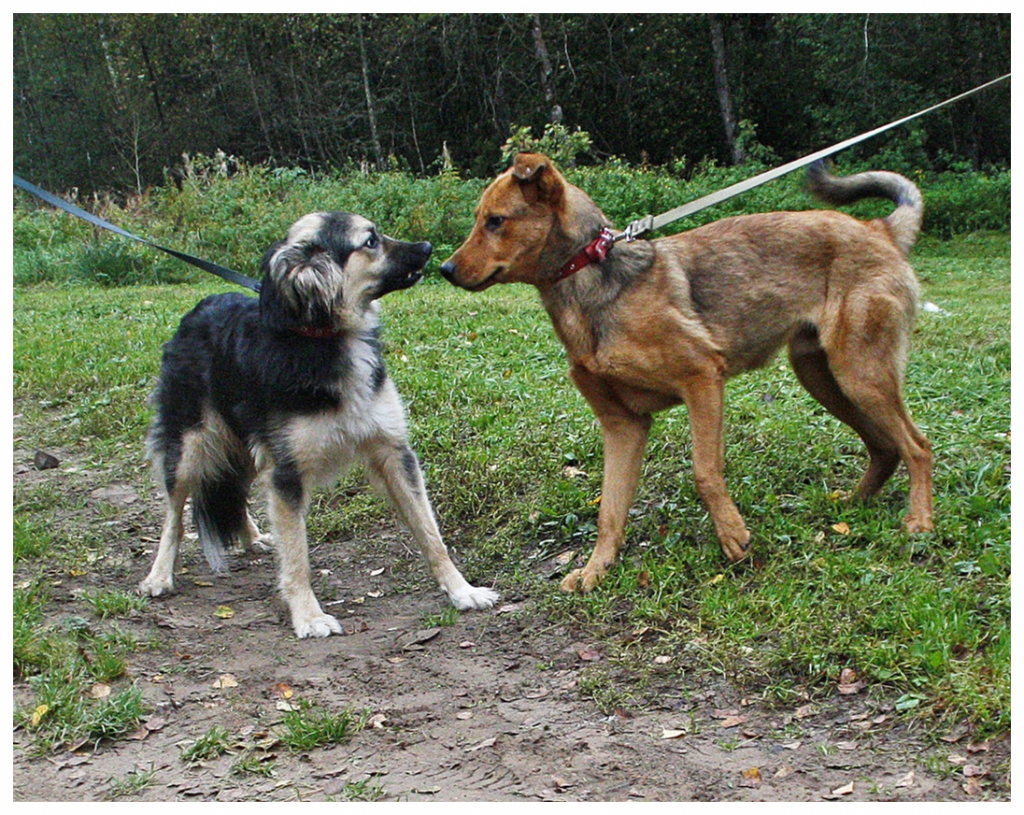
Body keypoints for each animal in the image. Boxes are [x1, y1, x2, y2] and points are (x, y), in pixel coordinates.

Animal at [140, 212, 499, 638]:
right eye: (370, 241)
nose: (428, 248)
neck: (327, 336)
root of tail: (199, 308)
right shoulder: (287, 473)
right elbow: (297, 556)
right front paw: (309, 616)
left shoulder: (393, 451)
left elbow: (430, 533)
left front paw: (462, 591)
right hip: (191, 445)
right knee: (174, 515)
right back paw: (159, 575)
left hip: (246, 446)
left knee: (235, 490)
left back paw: (253, 537)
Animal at [440, 152, 937, 593]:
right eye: (481, 219)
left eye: (495, 221)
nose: (443, 268)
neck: (591, 277)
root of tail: (879, 229)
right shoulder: (623, 426)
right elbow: (610, 512)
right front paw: (597, 570)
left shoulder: (702, 380)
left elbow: (705, 472)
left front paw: (733, 536)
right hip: (823, 377)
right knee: (884, 446)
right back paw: (852, 508)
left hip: (859, 374)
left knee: (917, 445)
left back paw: (919, 521)